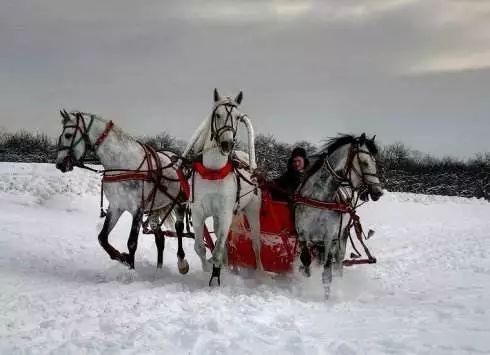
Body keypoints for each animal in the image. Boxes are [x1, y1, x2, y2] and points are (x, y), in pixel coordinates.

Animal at [55, 110, 189, 272]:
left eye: (68, 135)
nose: (59, 164)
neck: (123, 164)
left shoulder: (137, 209)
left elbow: (131, 243)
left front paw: (130, 269)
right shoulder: (116, 206)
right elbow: (102, 238)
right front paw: (120, 257)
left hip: (180, 202)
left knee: (179, 229)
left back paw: (181, 261)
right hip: (155, 209)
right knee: (160, 238)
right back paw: (159, 269)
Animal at [181, 89, 264, 286]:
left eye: (237, 117)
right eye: (217, 115)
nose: (227, 144)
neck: (213, 172)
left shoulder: (226, 213)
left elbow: (218, 248)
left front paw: (215, 278)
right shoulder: (198, 212)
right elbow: (200, 247)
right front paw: (206, 268)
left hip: (252, 210)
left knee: (256, 244)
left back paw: (259, 273)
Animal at [292, 135, 384, 298]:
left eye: (375, 162)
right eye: (365, 162)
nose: (378, 192)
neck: (319, 198)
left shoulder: (330, 238)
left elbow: (327, 274)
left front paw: (327, 297)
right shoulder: (303, 235)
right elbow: (306, 265)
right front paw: (306, 286)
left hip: (342, 235)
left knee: (338, 263)